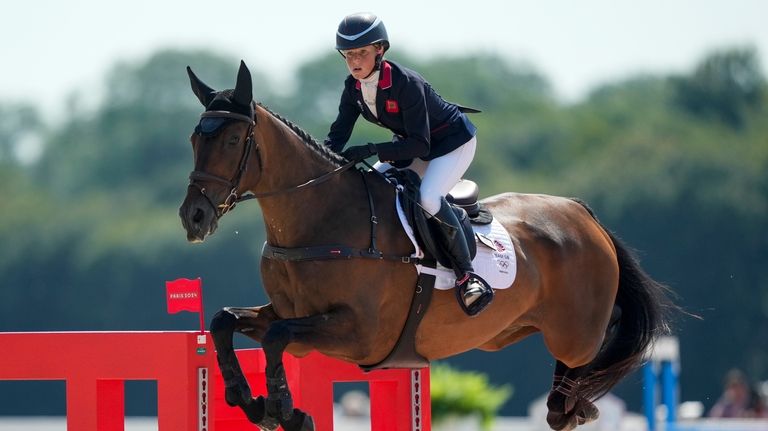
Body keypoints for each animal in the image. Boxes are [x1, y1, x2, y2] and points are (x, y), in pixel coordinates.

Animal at [180, 61, 672, 431]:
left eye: (231, 139)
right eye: (193, 138)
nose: (193, 217)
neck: (317, 222)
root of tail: (579, 212)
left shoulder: (359, 333)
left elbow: (277, 338)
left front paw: (283, 409)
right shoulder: (292, 317)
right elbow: (225, 321)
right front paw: (250, 401)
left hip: (574, 334)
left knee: (594, 351)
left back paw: (575, 403)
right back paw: (569, 405)